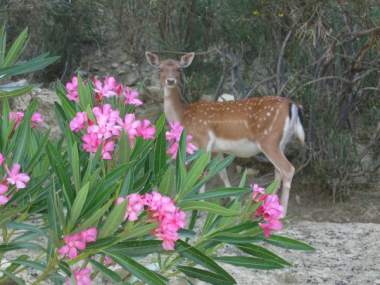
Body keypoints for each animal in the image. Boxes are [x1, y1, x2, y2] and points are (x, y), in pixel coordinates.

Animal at [145, 51, 306, 215]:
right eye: (160, 69)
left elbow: (202, 172)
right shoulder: (216, 149)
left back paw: (282, 213)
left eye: (179, 69)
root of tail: (292, 105)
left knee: (288, 169)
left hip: (269, 140)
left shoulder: (203, 140)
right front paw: (233, 200)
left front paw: (200, 205)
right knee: (278, 173)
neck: (183, 116)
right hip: (282, 143)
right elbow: (221, 173)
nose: (170, 81)